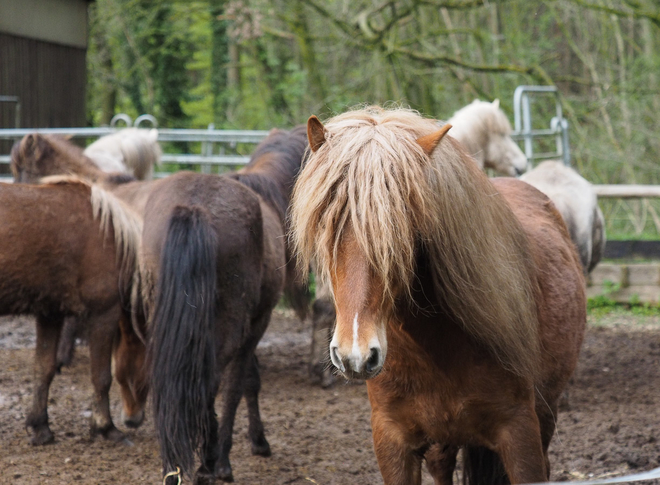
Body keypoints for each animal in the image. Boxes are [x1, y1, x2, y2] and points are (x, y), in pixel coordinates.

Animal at [142, 126, 310, 482]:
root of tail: (194, 207)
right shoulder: (257, 323)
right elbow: (242, 383)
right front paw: (234, 453)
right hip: (229, 325)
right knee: (209, 382)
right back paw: (210, 460)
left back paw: (175, 465)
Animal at [292, 107, 584, 484]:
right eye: (326, 228)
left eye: (401, 232)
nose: (354, 356)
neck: (437, 349)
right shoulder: (392, 442)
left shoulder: (520, 433)